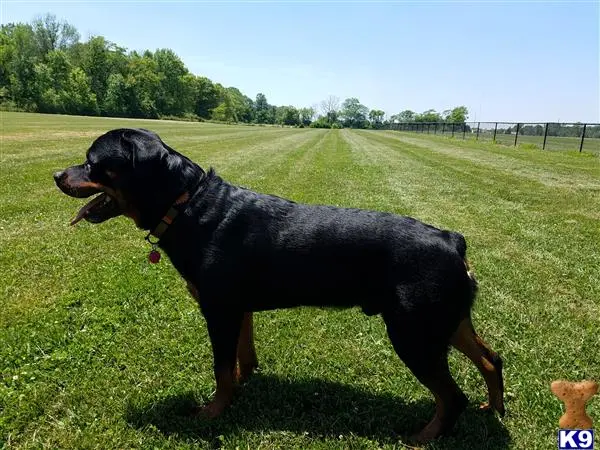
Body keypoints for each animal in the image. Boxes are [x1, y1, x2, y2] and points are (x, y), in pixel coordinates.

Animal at [54, 127, 506, 442]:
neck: (186, 206)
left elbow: (221, 367)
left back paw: (425, 437)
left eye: (92, 163)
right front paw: (243, 386)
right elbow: (242, 357)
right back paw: (494, 408)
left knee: (452, 396)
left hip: (414, 333)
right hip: (446, 322)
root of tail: (451, 240)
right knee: (491, 360)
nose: (57, 174)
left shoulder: (218, 309)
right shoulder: (239, 309)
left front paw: (213, 413)